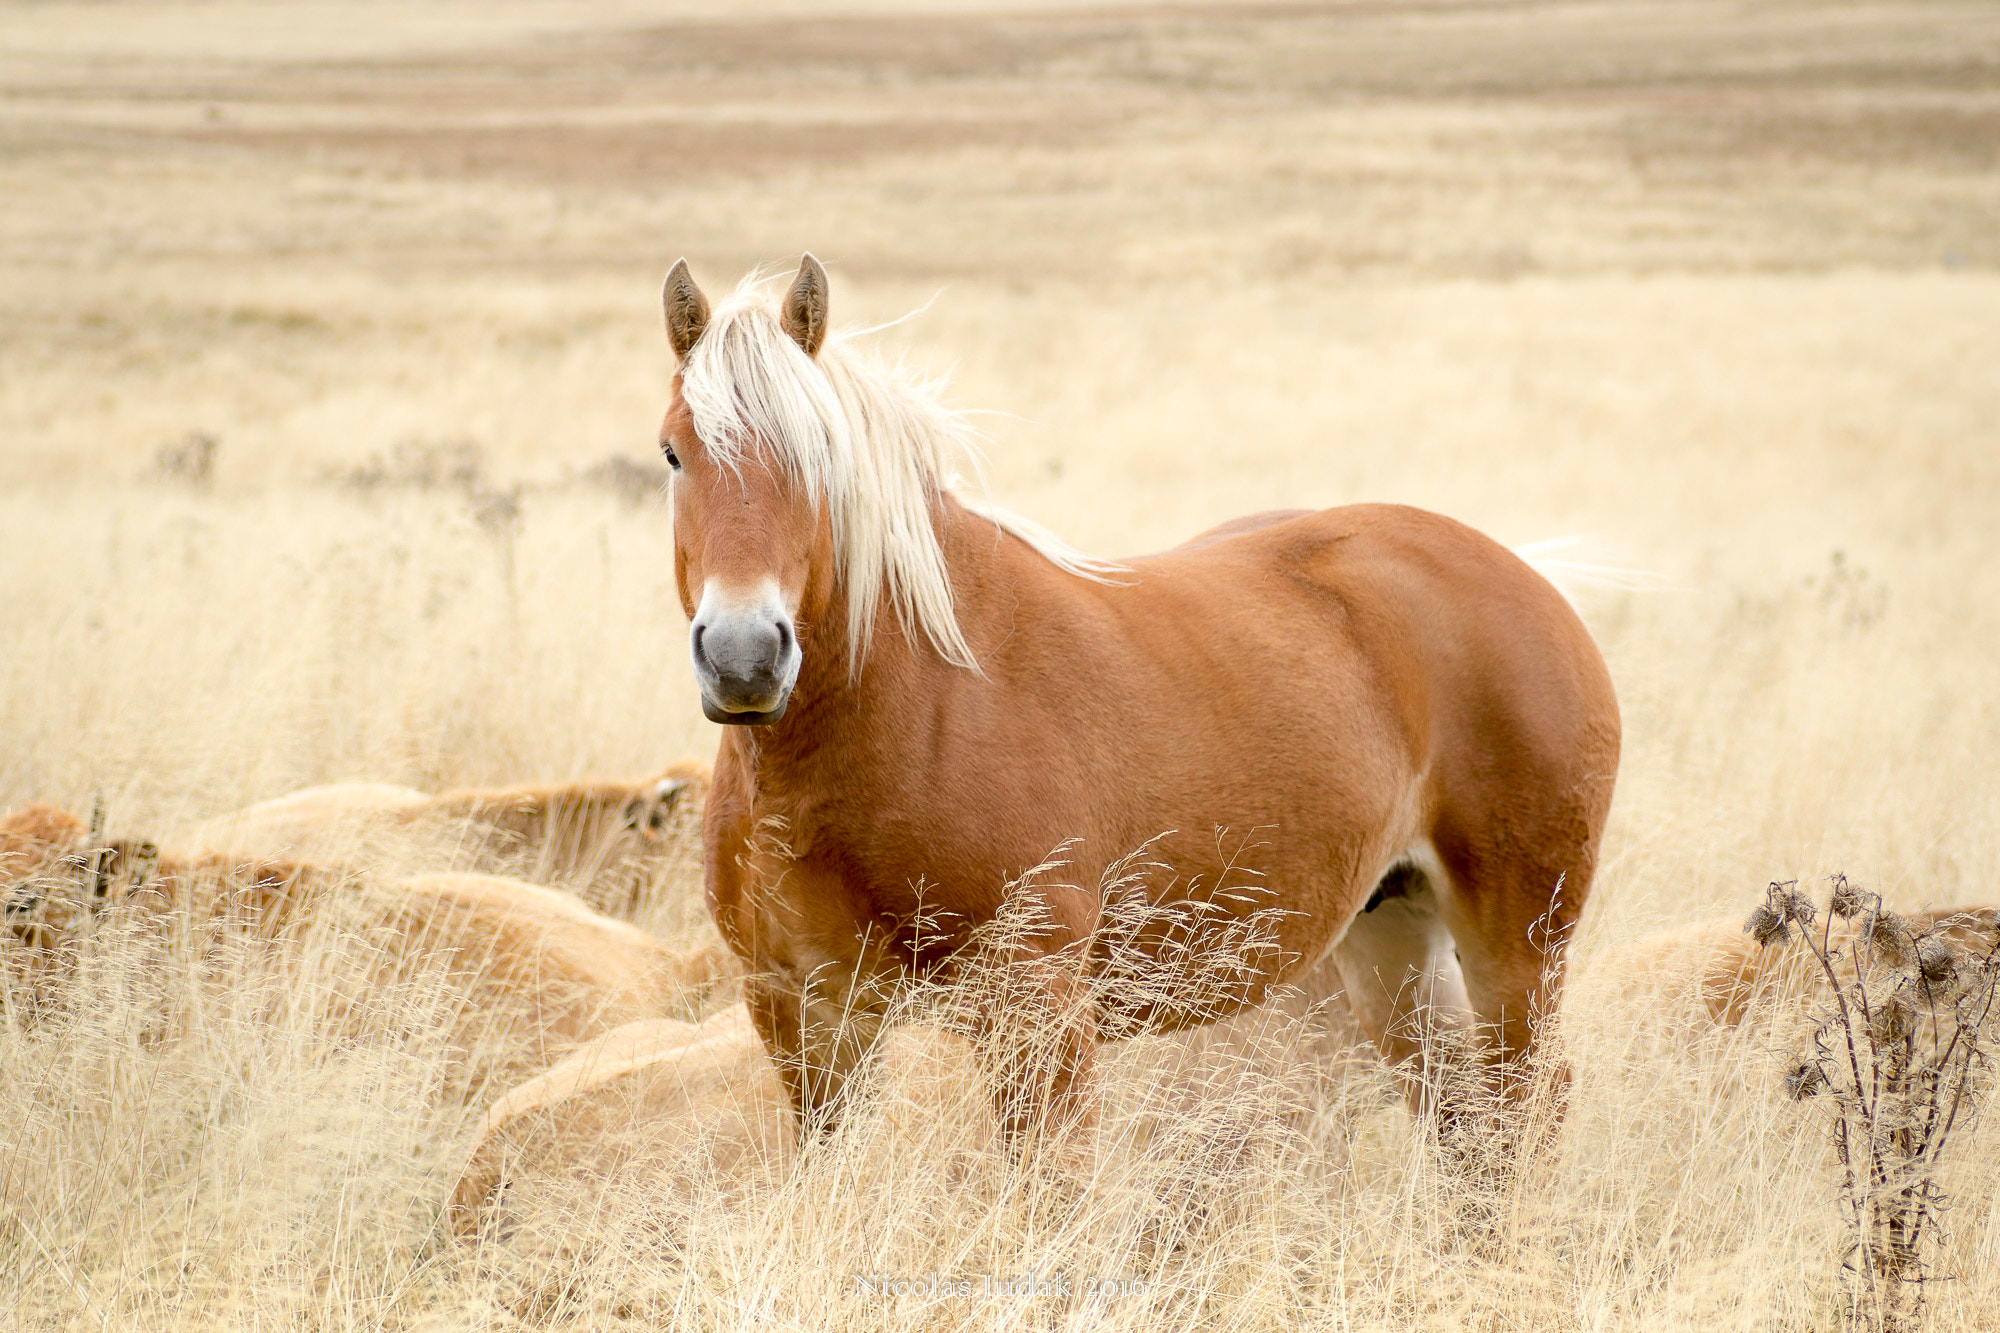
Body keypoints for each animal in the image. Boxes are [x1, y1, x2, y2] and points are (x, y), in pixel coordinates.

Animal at [648, 252, 1616, 1144]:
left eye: (818, 459)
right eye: (672, 453)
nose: (743, 656)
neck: (914, 703)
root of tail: (1525, 575)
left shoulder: (1037, 1011)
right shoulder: (804, 1016)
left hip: (1517, 944)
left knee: (1529, 1103)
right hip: (1392, 932)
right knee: (1459, 1114)